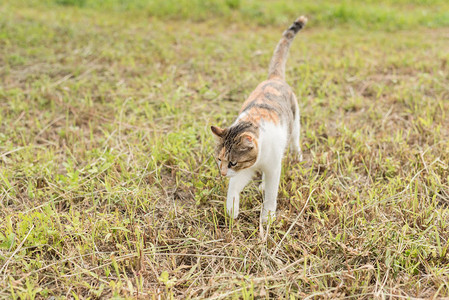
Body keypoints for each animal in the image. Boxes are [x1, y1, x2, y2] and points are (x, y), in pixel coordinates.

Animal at [212, 16, 306, 223]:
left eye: (232, 162)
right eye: (219, 159)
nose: (222, 173)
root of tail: (274, 78)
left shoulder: (272, 166)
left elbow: (271, 193)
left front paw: (267, 216)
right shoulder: (245, 170)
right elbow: (234, 188)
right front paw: (232, 210)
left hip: (295, 124)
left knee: (295, 141)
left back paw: (298, 157)